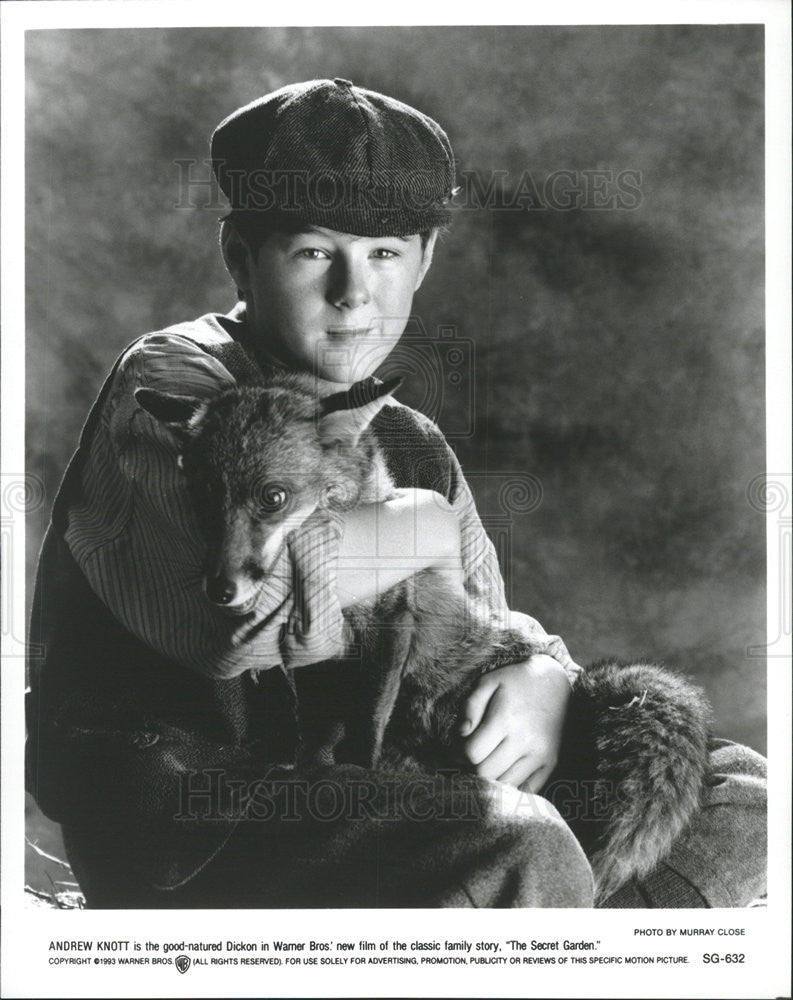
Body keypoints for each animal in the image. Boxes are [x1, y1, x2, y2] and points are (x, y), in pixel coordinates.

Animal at [136, 372, 712, 904]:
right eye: (202, 498)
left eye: (272, 498)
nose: (220, 590)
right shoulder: (310, 651)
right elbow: (305, 712)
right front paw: (305, 761)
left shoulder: (393, 624)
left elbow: (366, 720)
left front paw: (357, 773)